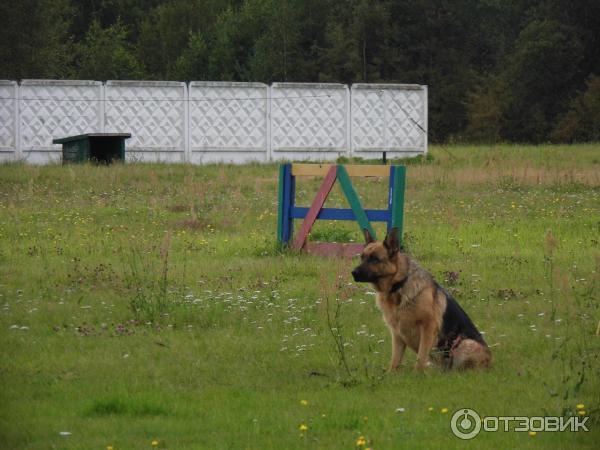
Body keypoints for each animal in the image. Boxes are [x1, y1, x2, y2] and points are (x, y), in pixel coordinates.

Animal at [350, 227, 490, 370]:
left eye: (374, 259)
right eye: (362, 258)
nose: (353, 273)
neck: (399, 286)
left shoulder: (428, 328)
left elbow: (421, 358)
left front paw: (417, 373)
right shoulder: (397, 335)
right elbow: (395, 361)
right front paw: (391, 373)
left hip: (466, 343)